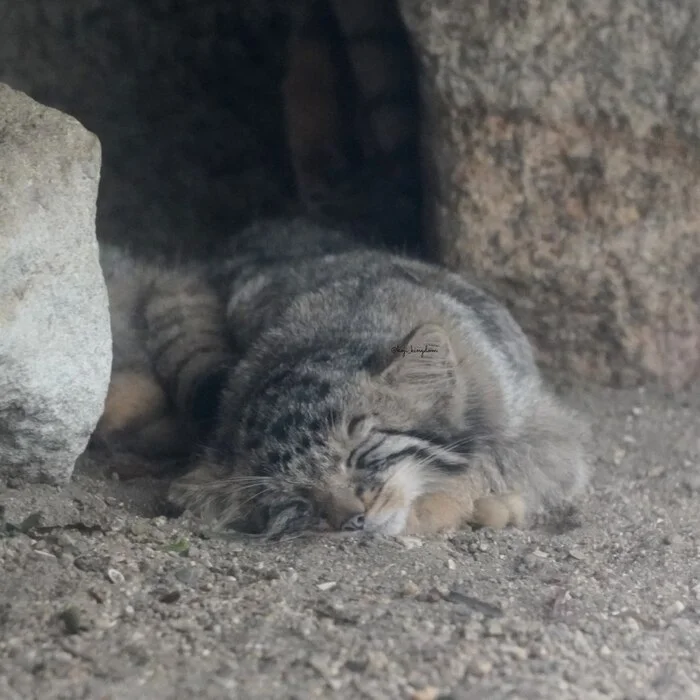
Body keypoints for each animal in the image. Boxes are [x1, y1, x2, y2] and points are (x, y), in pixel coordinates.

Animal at [95, 221, 592, 540]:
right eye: (298, 498)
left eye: (362, 455)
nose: (352, 519)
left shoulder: (549, 429)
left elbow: (490, 460)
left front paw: (444, 503)